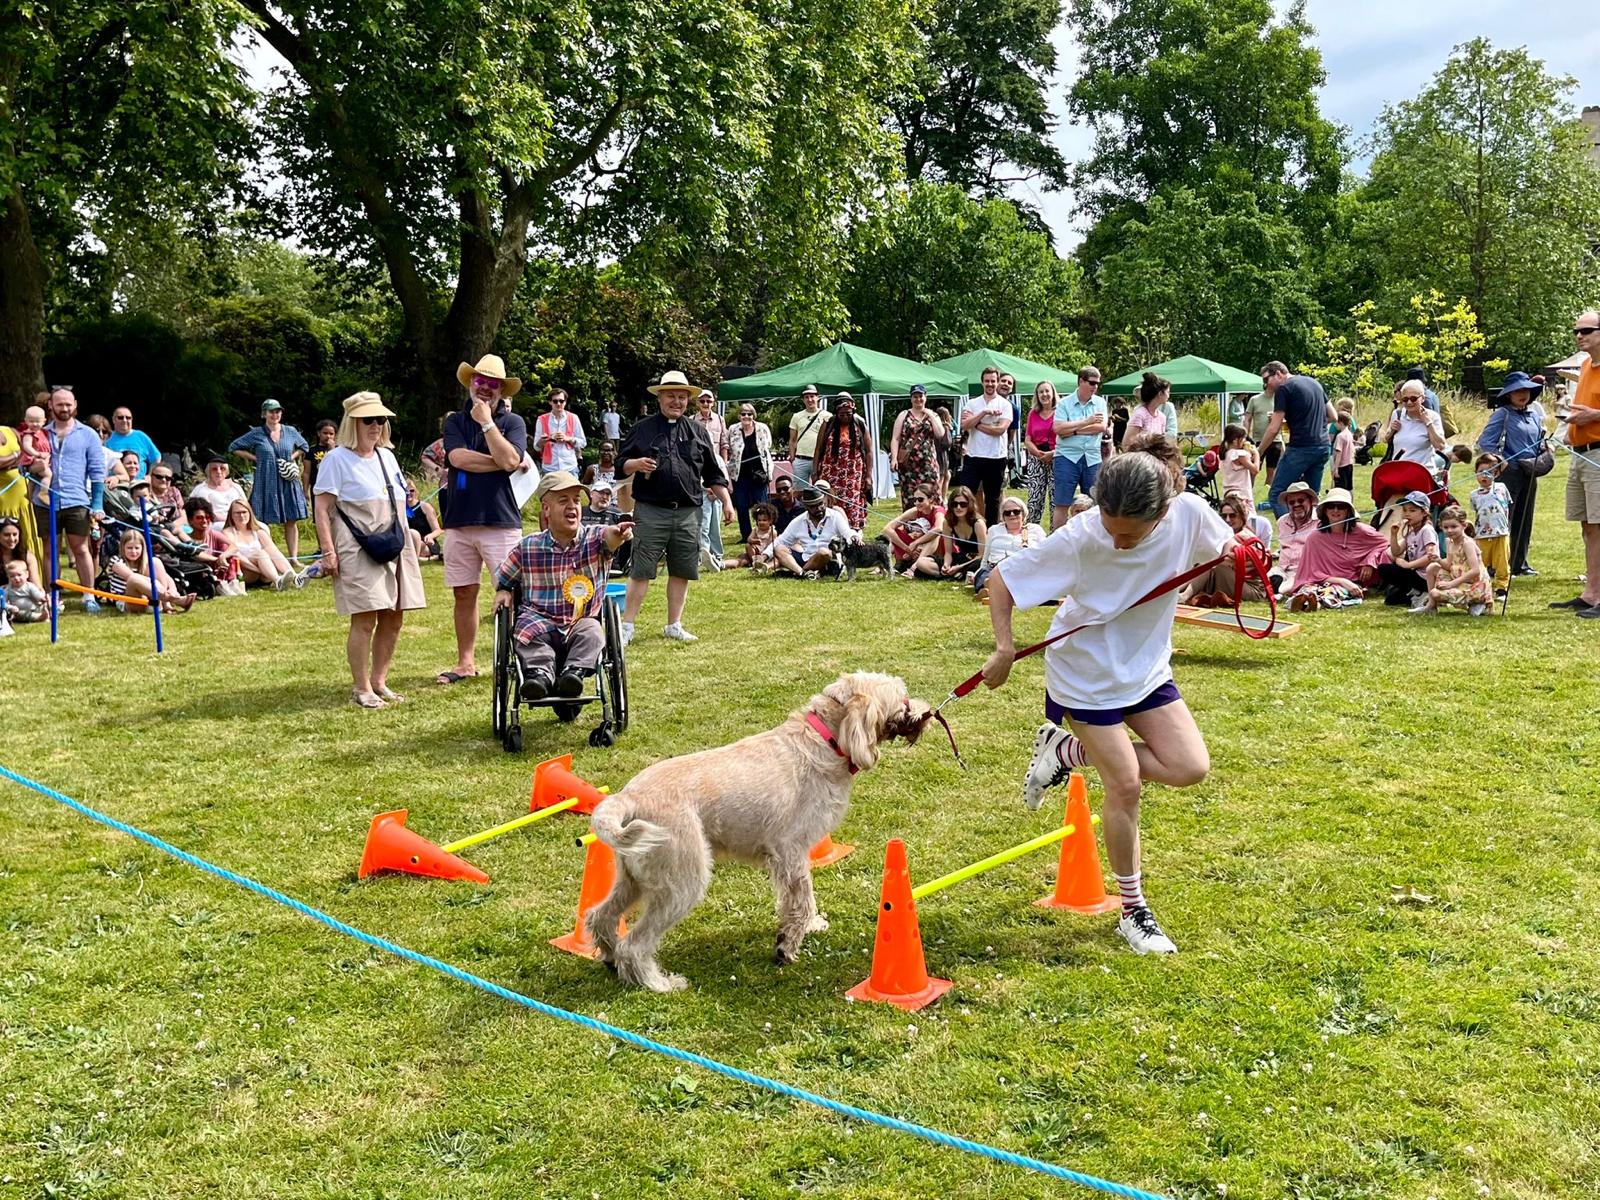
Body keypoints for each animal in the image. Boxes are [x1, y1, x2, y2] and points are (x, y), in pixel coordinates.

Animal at [588, 678, 934, 998]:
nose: (927, 711)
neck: (824, 740)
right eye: (903, 699)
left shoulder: (788, 859)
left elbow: (797, 900)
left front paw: (808, 927)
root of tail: (628, 797)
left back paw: (610, 958)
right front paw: (787, 945)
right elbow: (802, 901)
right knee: (634, 944)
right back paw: (658, 983)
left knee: (599, 916)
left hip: (633, 880)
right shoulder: (791, 852)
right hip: (681, 884)